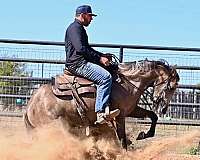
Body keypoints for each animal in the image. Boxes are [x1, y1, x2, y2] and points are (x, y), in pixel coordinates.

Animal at [23, 58, 180, 149]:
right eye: (171, 87)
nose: (163, 108)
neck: (127, 83)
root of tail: (30, 106)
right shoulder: (119, 115)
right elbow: (122, 139)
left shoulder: (131, 110)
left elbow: (153, 116)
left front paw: (143, 134)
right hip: (56, 126)